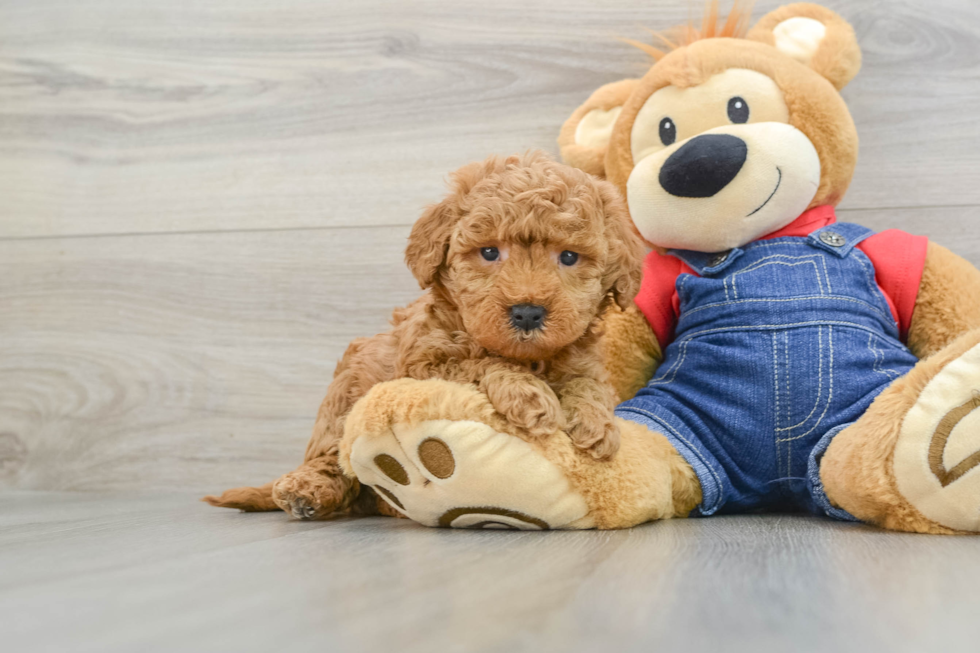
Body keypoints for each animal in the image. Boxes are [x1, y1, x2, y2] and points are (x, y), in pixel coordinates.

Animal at [207, 150, 644, 516]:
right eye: (489, 252)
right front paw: (529, 395)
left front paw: (596, 424)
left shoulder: (584, 361)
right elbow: (480, 363)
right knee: (331, 459)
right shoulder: (423, 363)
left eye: (568, 257)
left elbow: (589, 385)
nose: (527, 313)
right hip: (344, 395)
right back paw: (307, 492)